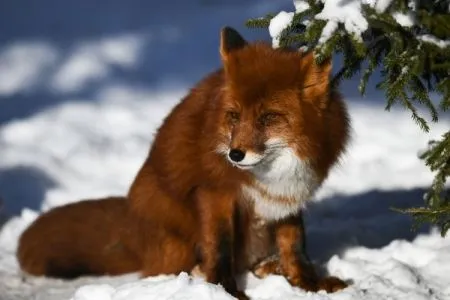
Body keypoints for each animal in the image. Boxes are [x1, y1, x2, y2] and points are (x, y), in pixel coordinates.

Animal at [17, 27, 350, 298]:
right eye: (234, 116)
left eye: (268, 117)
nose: (235, 155)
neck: (272, 173)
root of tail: (131, 221)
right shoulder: (215, 193)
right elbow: (220, 247)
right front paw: (225, 291)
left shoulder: (288, 198)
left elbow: (295, 246)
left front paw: (308, 284)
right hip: (175, 232)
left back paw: (269, 268)